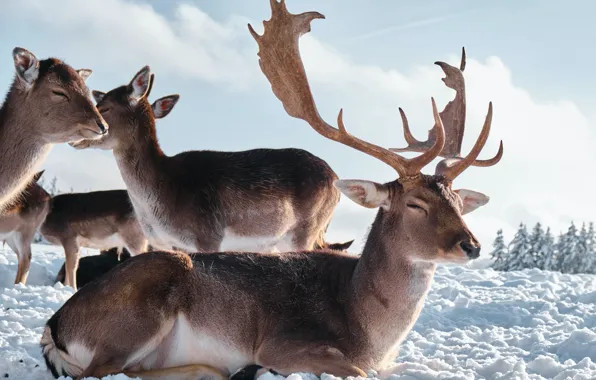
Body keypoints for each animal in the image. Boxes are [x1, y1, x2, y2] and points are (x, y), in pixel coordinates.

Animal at [67, 68, 340, 255]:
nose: (74, 137)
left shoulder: (208, 236)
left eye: (104, 106)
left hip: (305, 231)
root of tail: (336, 179)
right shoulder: (168, 244)